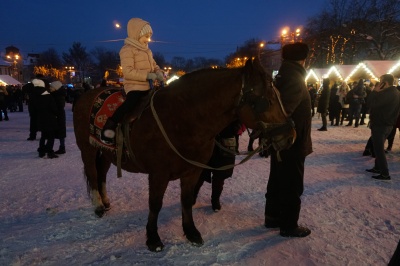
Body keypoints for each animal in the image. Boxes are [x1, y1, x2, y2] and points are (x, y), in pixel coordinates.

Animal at [73, 57, 296, 251]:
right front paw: (153, 238)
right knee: (92, 173)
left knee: (101, 173)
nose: (290, 136)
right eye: (267, 100)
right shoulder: (158, 174)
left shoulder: (193, 171)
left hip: (105, 153)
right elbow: (155, 204)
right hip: (88, 149)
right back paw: (98, 205)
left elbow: (187, 200)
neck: (181, 118)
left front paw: (191, 232)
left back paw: (105, 201)